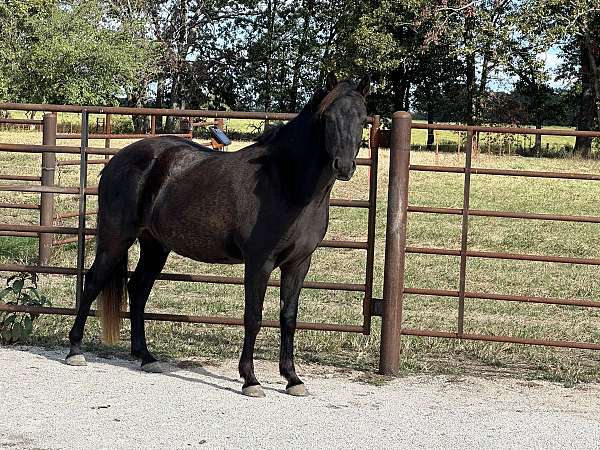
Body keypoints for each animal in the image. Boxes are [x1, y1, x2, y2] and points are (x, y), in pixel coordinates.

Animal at [65, 72, 370, 396]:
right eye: (327, 118)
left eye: (363, 119)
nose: (344, 166)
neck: (286, 182)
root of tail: (117, 160)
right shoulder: (259, 263)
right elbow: (253, 317)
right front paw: (250, 379)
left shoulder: (299, 263)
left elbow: (288, 318)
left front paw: (293, 379)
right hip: (116, 238)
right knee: (93, 281)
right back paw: (75, 350)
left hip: (155, 245)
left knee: (138, 289)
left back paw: (146, 357)